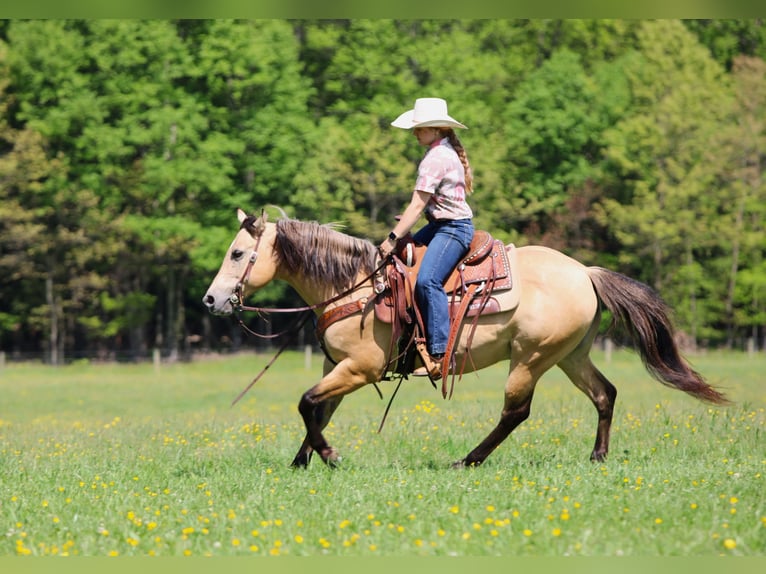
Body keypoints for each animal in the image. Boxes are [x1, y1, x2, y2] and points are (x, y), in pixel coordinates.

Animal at [203, 209, 729, 468]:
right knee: (605, 394)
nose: (211, 300)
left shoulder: (361, 369)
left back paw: (469, 460)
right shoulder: (340, 368)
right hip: (570, 356)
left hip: (530, 359)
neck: (354, 284)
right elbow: (318, 409)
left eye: (237, 253)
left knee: (516, 413)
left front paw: (327, 457)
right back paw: (598, 457)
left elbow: (306, 403)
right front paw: (303, 461)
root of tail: (585, 272)